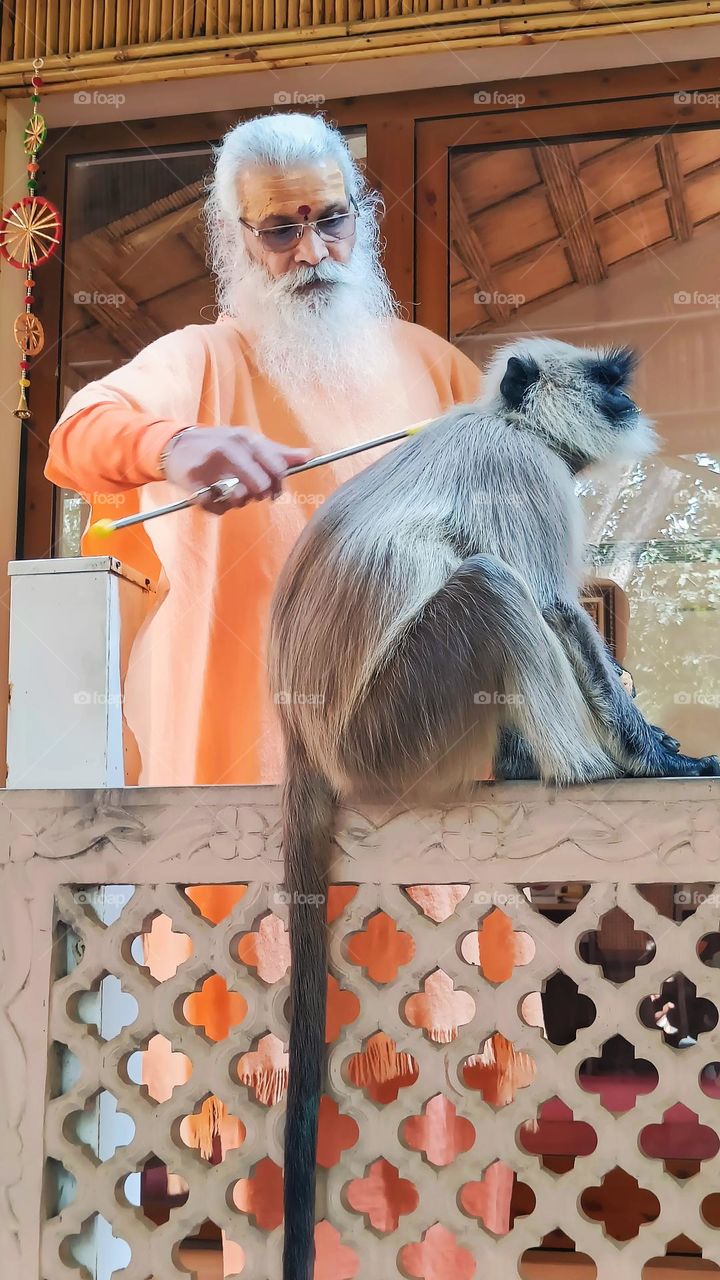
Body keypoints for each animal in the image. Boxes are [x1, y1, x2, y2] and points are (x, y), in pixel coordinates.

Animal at [267, 337, 720, 1280]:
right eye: (609, 380)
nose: (629, 403)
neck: (507, 423)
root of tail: (302, 728)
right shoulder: (524, 472)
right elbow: (553, 606)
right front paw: (661, 757)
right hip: (393, 727)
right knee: (492, 586)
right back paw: (589, 773)